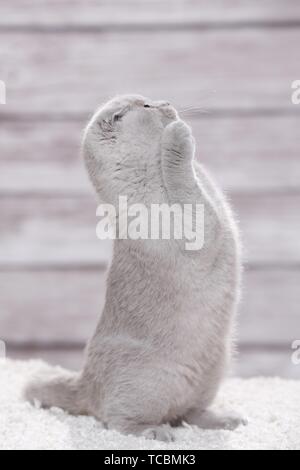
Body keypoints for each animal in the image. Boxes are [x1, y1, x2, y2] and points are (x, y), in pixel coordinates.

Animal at [24, 94, 246, 440]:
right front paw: (177, 135)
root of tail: (85, 383)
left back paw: (224, 420)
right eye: (145, 107)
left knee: (191, 412)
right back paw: (156, 432)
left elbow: (199, 181)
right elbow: (182, 177)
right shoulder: (196, 223)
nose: (165, 102)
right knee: (119, 421)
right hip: (147, 386)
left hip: (215, 371)